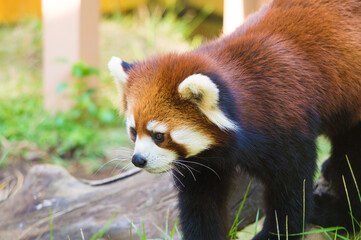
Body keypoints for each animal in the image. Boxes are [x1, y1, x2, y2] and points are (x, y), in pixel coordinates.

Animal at [107, 0, 360, 239]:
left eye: (159, 135)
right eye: (133, 132)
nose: (138, 160)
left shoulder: (288, 125)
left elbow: (291, 190)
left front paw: (277, 233)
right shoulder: (204, 162)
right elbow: (201, 203)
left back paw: (340, 215)